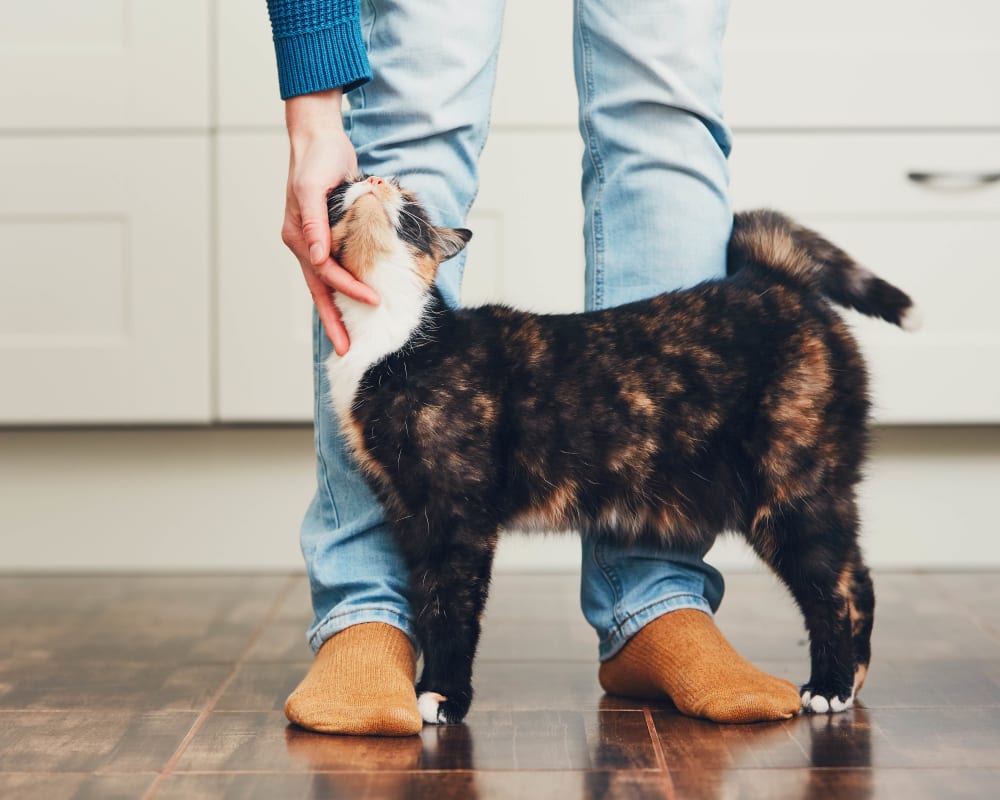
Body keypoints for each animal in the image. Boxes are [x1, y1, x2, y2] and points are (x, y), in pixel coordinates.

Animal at [324, 173, 916, 724]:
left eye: (411, 204)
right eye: (345, 186)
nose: (374, 178)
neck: (391, 339)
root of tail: (772, 278)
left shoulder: (458, 517)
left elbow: (453, 609)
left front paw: (445, 697)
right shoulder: (411, 514)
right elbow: (428, 603)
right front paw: (425, 687)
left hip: (792, 490)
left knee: (835, 588)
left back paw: (831, 686)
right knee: (856, 578)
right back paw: (850, 680)